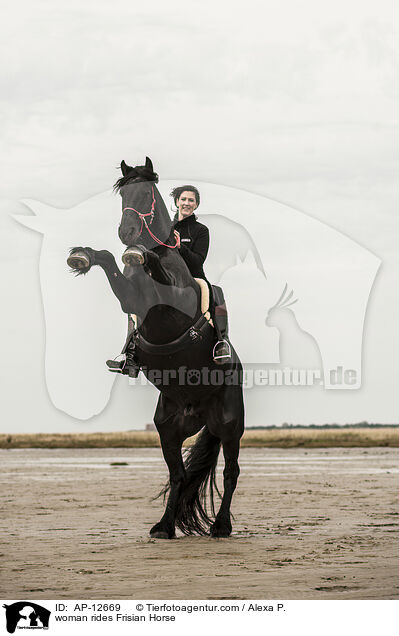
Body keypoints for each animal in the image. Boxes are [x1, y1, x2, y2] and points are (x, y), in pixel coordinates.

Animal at [67, 158, 245, 536]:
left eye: (147, 191)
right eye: (123, 193)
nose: (128, 233)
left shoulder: (171, 303)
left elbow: (154, 267)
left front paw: (140, 254)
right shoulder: (129, 299)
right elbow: (108, 259)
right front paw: (83, 257)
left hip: (229, 425)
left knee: (231, 472)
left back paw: (221, 526)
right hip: (169, 429)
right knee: (179, 475)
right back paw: (164, 526)